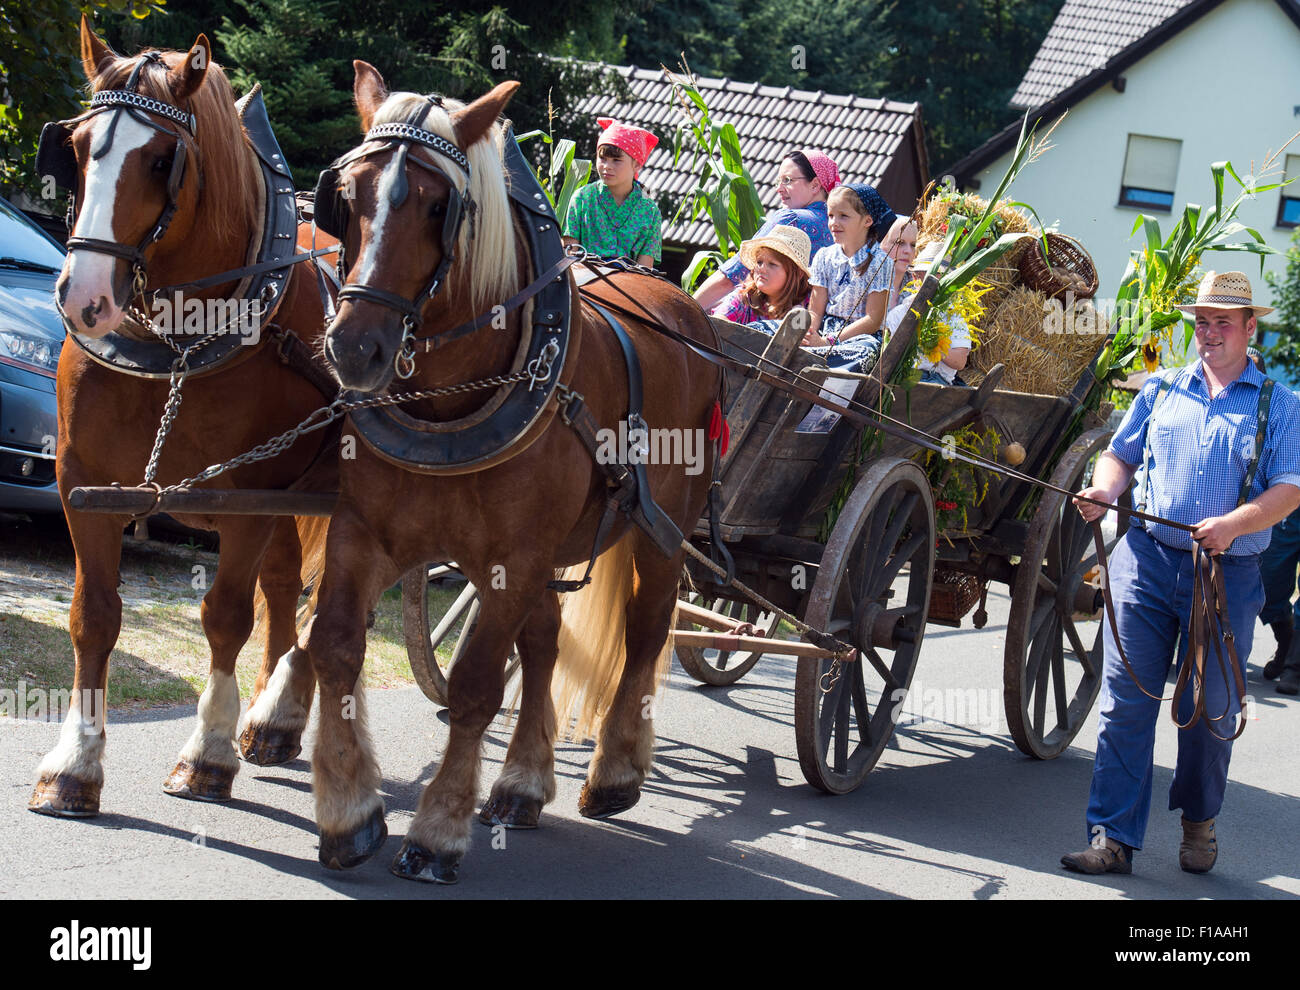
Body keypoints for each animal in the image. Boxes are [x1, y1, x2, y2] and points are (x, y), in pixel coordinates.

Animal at [308, 65, 728, 883]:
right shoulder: (365, 533)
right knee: (543, 643)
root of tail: (681, 304)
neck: (451, 400)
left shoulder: (512, 558)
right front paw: (351, 811)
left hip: (660, 532)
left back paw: (615, 772)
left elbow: (475, 685)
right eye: (347, 195)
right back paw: (523, 784)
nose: (356, 348)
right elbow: (335, 647)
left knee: (646, 631)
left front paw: (437, 829)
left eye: (438, 205)